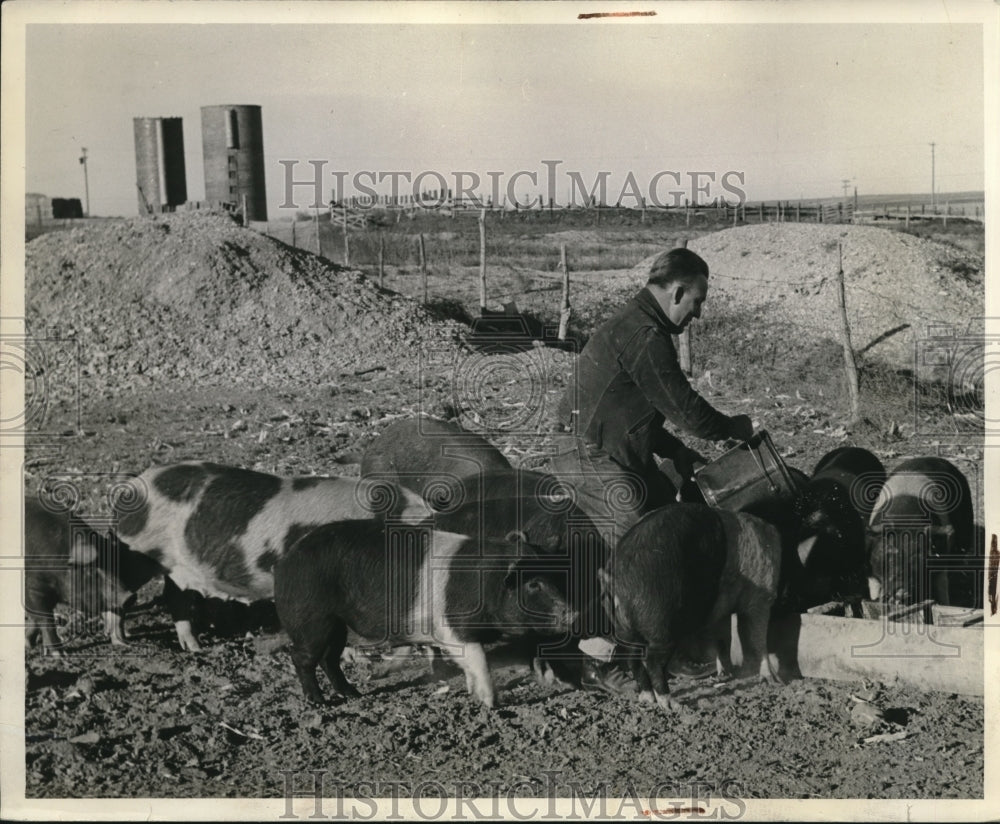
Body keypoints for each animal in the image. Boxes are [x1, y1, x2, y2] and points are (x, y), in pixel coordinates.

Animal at [24, 497, 163, 655]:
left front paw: (28, 645)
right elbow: (44, 619)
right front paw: (59, 655)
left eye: (114, 567)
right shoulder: (33, 588)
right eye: (91, 570)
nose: (129, 596)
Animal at [114, 462, 432, 651]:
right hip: (137, 554)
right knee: (119, 595)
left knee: (175, 597)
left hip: (177, 567)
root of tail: (133, 485)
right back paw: (122, 643)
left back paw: (195, 647)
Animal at [274, 520, 578, 708]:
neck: (490, 584)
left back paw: (352, 694)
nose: (573, 614)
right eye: (534, 584)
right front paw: (493, 704)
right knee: (300, 656)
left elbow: (470, 664)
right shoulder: (455, 628)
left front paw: (473, 693)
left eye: (556, 577)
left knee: (329, 659)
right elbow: (479, 660)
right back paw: (318, 701)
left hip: (338, 625)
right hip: (312, 619)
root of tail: (287, 561)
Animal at [596, 503, 781, 712]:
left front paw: (725, 673)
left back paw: (647, 698)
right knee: (652, 662)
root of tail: (614, 577)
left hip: (625, 630)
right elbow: (757, 640)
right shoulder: (762, 597)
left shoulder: (719, 611)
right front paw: (774, 681)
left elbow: (723, 639)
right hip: (661, 626)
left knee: (633, 659)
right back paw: (671, 705)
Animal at [866, 456, 976, 606]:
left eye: (919, 558)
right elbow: (874, 591)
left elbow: (942, 591)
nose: (901, 592)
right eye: (889, 554)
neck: (906, 520)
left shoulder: (940, 564)